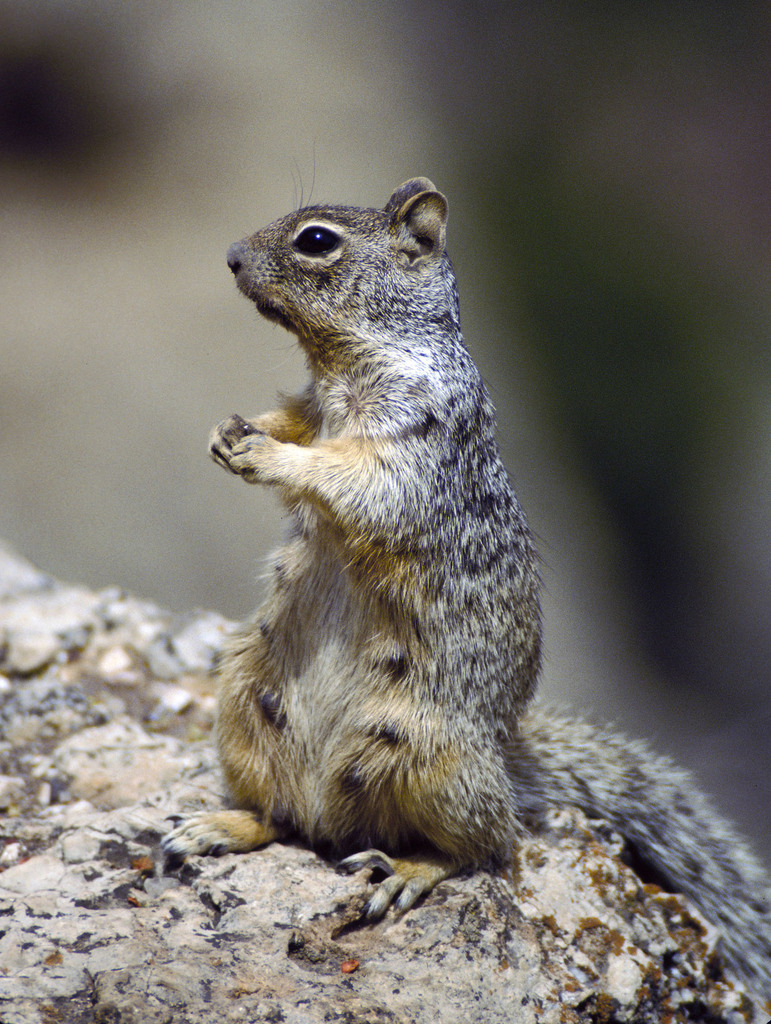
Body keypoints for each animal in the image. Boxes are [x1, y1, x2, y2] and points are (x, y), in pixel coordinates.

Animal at [162, 177, 770, 997]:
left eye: (316, 240)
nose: (230, 255)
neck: (345, 363)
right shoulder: (311, 403)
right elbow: (288, 418)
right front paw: (229, 431)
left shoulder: (412, 440)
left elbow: (346, 477)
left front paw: (266, 455)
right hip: (240, 703)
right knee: (283, 820)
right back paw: (216, 826)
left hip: (430, 756)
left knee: (486, 846)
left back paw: (405, 872)